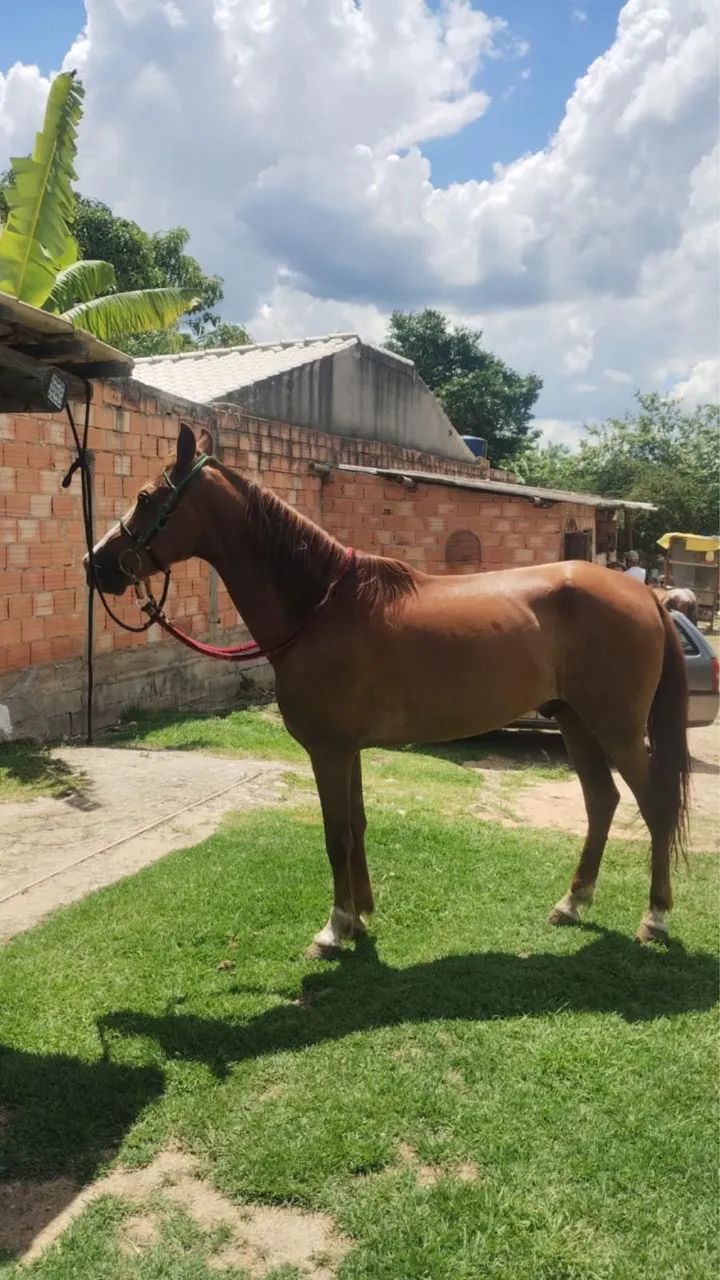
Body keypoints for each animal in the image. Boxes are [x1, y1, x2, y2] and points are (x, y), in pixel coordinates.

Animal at [87, 423, 690, 953]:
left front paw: (333, 929)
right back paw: (572, 904)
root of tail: (648, 597)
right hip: (575, 720)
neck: (320, 606)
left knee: (654, 805)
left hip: (615, 728)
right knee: (602, 801)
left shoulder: (328, 750)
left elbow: (335, 835)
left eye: (145, 497)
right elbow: (355, 827)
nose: (96, 565)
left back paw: (655, 918)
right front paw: (359, 918)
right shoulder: (347, 750)